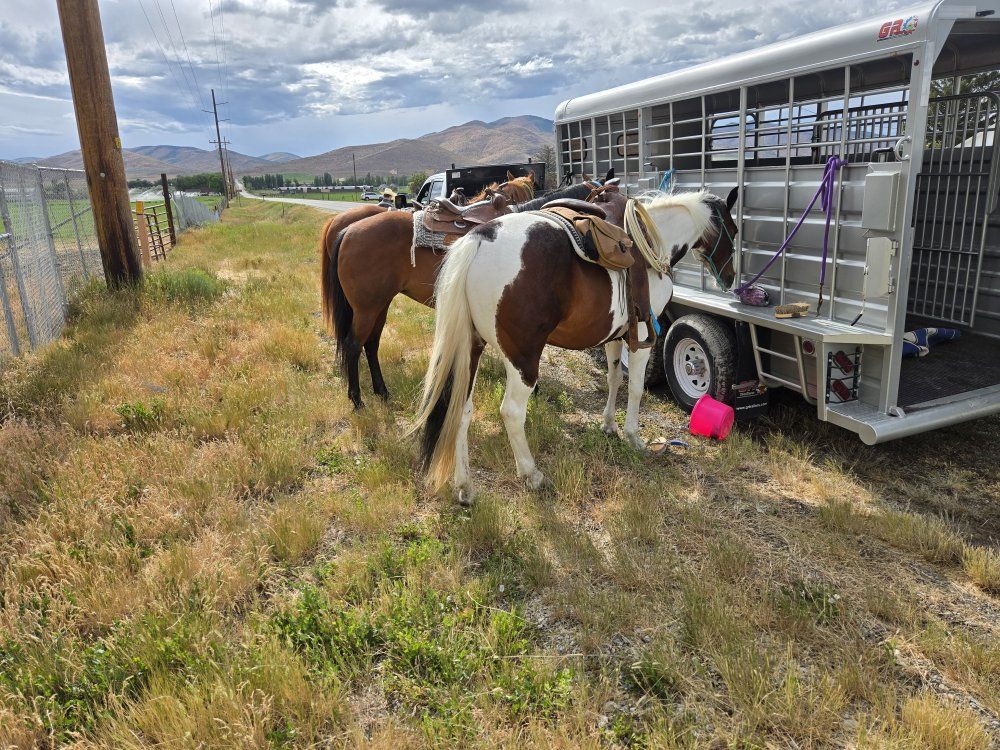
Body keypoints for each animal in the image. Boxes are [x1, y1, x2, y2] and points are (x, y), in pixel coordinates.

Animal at [321, 177, 608, 408]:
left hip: (379, 304)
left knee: (371, 344)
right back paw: (357, 400)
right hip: (366, 309)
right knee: (353, 345)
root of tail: (348, 230)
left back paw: (381, 391)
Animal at [411, 187, 739, 505]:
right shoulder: (644, 337)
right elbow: (635, 388)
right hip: (523, 358)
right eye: (733, 231)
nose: (731, 278)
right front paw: (633, 437)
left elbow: (614, 379)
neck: (652, 241)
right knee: (512, 412)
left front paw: (609, 425)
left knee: (461, 410)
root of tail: (479, 239)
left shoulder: (615, 336)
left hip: (471, 350)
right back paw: (532, 475)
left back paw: (465, 487)